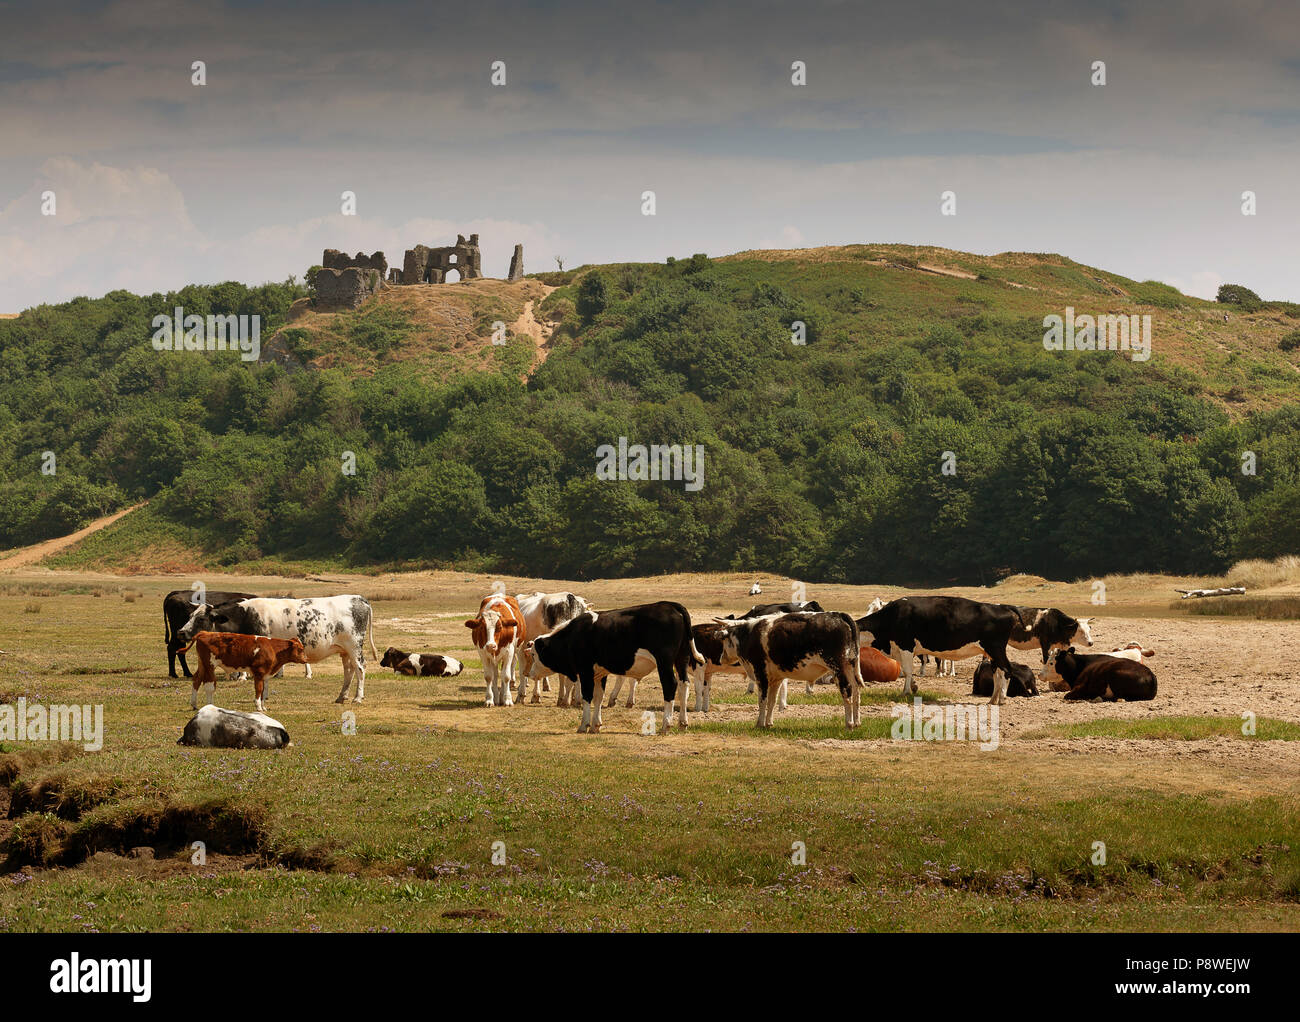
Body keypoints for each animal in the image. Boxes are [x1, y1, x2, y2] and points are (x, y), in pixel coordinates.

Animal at [176, 629, 310, 707]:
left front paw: (263, 707)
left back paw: (194, 704)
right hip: (209, 665)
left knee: (196, 680)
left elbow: (264, 690)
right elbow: (259, 689)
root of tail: (204, 633)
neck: (272, 648)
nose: (306, 659)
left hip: (202, 664)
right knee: (209, 685)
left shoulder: (265, 674)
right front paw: (258, 707)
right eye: (300, 649)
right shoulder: (259, 672)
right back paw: (209, 705)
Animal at [522, 598, 702, 733]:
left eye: (534, 654)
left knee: (670, 685)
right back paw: (683, 722)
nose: (530, 674)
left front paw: (584, 725)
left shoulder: (585, 672)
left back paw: (666, 724)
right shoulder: (600, 673)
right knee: (684, 685)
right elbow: (598, 697)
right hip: (681, 659)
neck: (573, 635)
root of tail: (670, 605)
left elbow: (587, 697)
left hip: (664, 662)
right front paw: (596, 725)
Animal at [712, 608, 863, 728]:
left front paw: (759, 724)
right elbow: (772, 701)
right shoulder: (776, 678)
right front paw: (769, 723)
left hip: (838, 668)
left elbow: (762, 700)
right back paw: (856, 722)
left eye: (723, 640)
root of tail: (839, 615)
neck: (749, 635)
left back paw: (849, 724)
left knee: (847, 691)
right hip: (850, 666)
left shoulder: (761, 674)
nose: (721, 658)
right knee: (856, 691)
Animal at [863, 592, 1024, 707]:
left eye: (875, 607)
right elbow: (906, 670)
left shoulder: (906, 647)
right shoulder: (900, 651)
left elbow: (908, 671)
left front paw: (906, 692)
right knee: (998, 672)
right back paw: (993, 699)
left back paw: (1002, 699)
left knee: (1006, 670)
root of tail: (1003, 607)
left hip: (996, 649)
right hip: (992, 654)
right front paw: (914, 686)